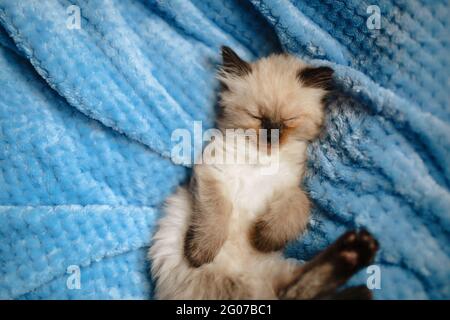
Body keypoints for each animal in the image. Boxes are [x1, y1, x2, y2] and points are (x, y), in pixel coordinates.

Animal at [149, 47, 378, 300]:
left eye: (288, 120)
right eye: (257, 117)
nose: (271, 134)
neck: (262, 158)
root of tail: (260, 292)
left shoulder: (288, 187)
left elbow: (299, 204)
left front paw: (263, 239)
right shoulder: (214, 174)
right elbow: (217, 213)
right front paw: (200, 254)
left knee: (300, 290)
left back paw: (358, 251)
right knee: (298, 292)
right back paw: (356, 256)